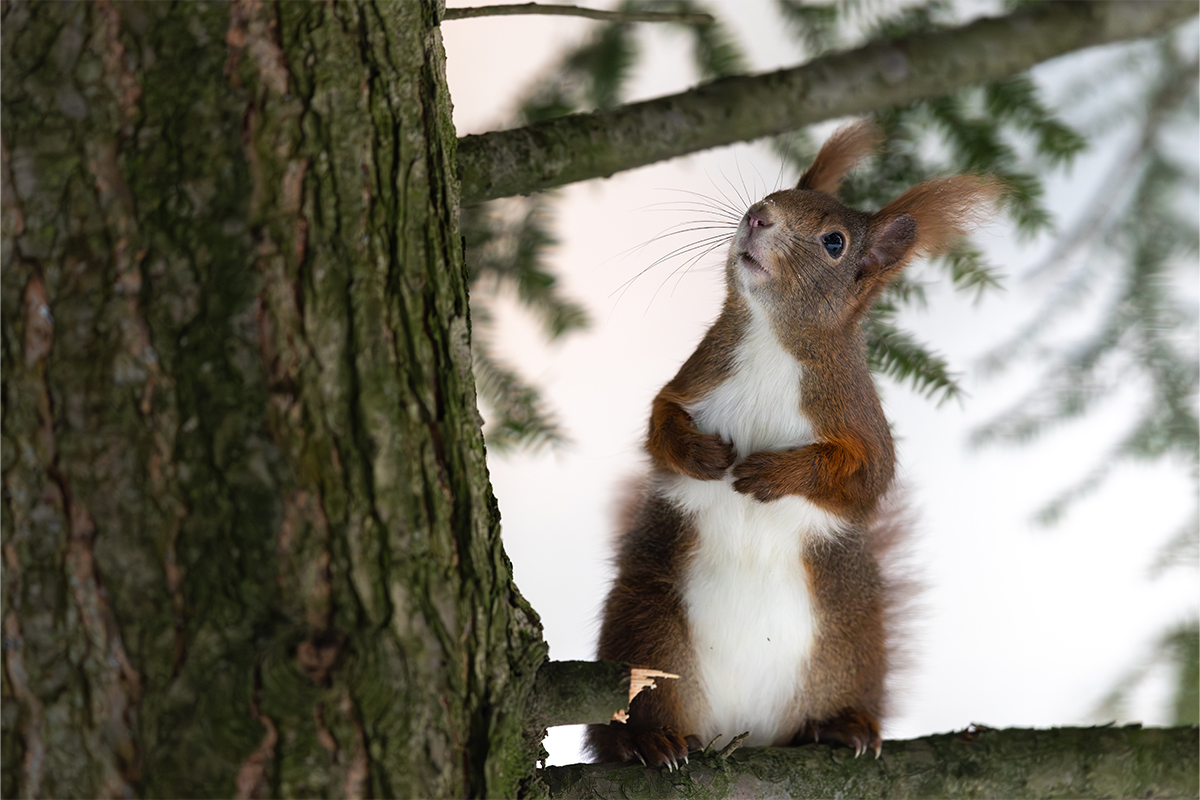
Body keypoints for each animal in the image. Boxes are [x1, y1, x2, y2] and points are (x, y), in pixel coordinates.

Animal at [585, 121, 998, 768]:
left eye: (834, 243)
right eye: (776, 194)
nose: (758, 215)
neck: (770, 339)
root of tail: (740, 730)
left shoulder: (858, 420)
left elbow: (864, 481)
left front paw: (772, 475)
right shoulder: (692, 381)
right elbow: (659, 428)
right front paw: (704, 456)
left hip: (848, 649)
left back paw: (842, 726)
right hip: (650, 632)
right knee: (623, 720)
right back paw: (646, 740)